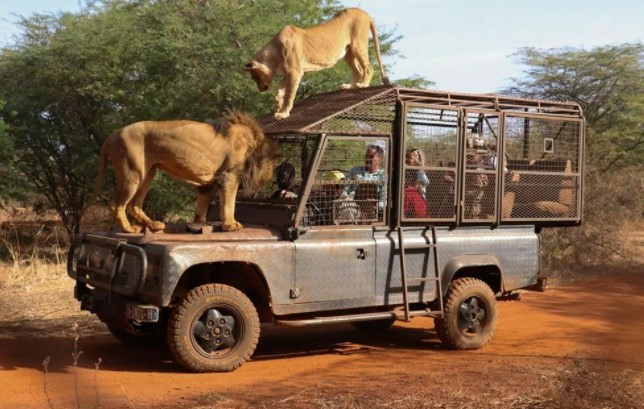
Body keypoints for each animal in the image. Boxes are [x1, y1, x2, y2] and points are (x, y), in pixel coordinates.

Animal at [87, 111, 276, 233]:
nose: (271, 175)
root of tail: (111, 136)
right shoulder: (229, 175)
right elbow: (229, 202)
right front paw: (231, 225)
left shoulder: (209, 182)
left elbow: (202, 205)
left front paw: (200, 223)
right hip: (133, 174)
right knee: (117, 205)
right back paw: (129, 229)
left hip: (148, 173)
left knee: (134, 205)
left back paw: (154, 225)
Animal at [244, 7, 390, 119]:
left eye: (254, 77)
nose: (261, 89)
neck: (274, 53)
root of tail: (364, 12)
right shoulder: (292, 73)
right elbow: (280, 91)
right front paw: (278, 106)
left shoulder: (295, 72)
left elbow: (289, 95)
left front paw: (283, 113)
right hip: (347, 53)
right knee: (358, 70)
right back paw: (348, 86)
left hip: (358, 45)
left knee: (368, 68)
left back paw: (363, 84)